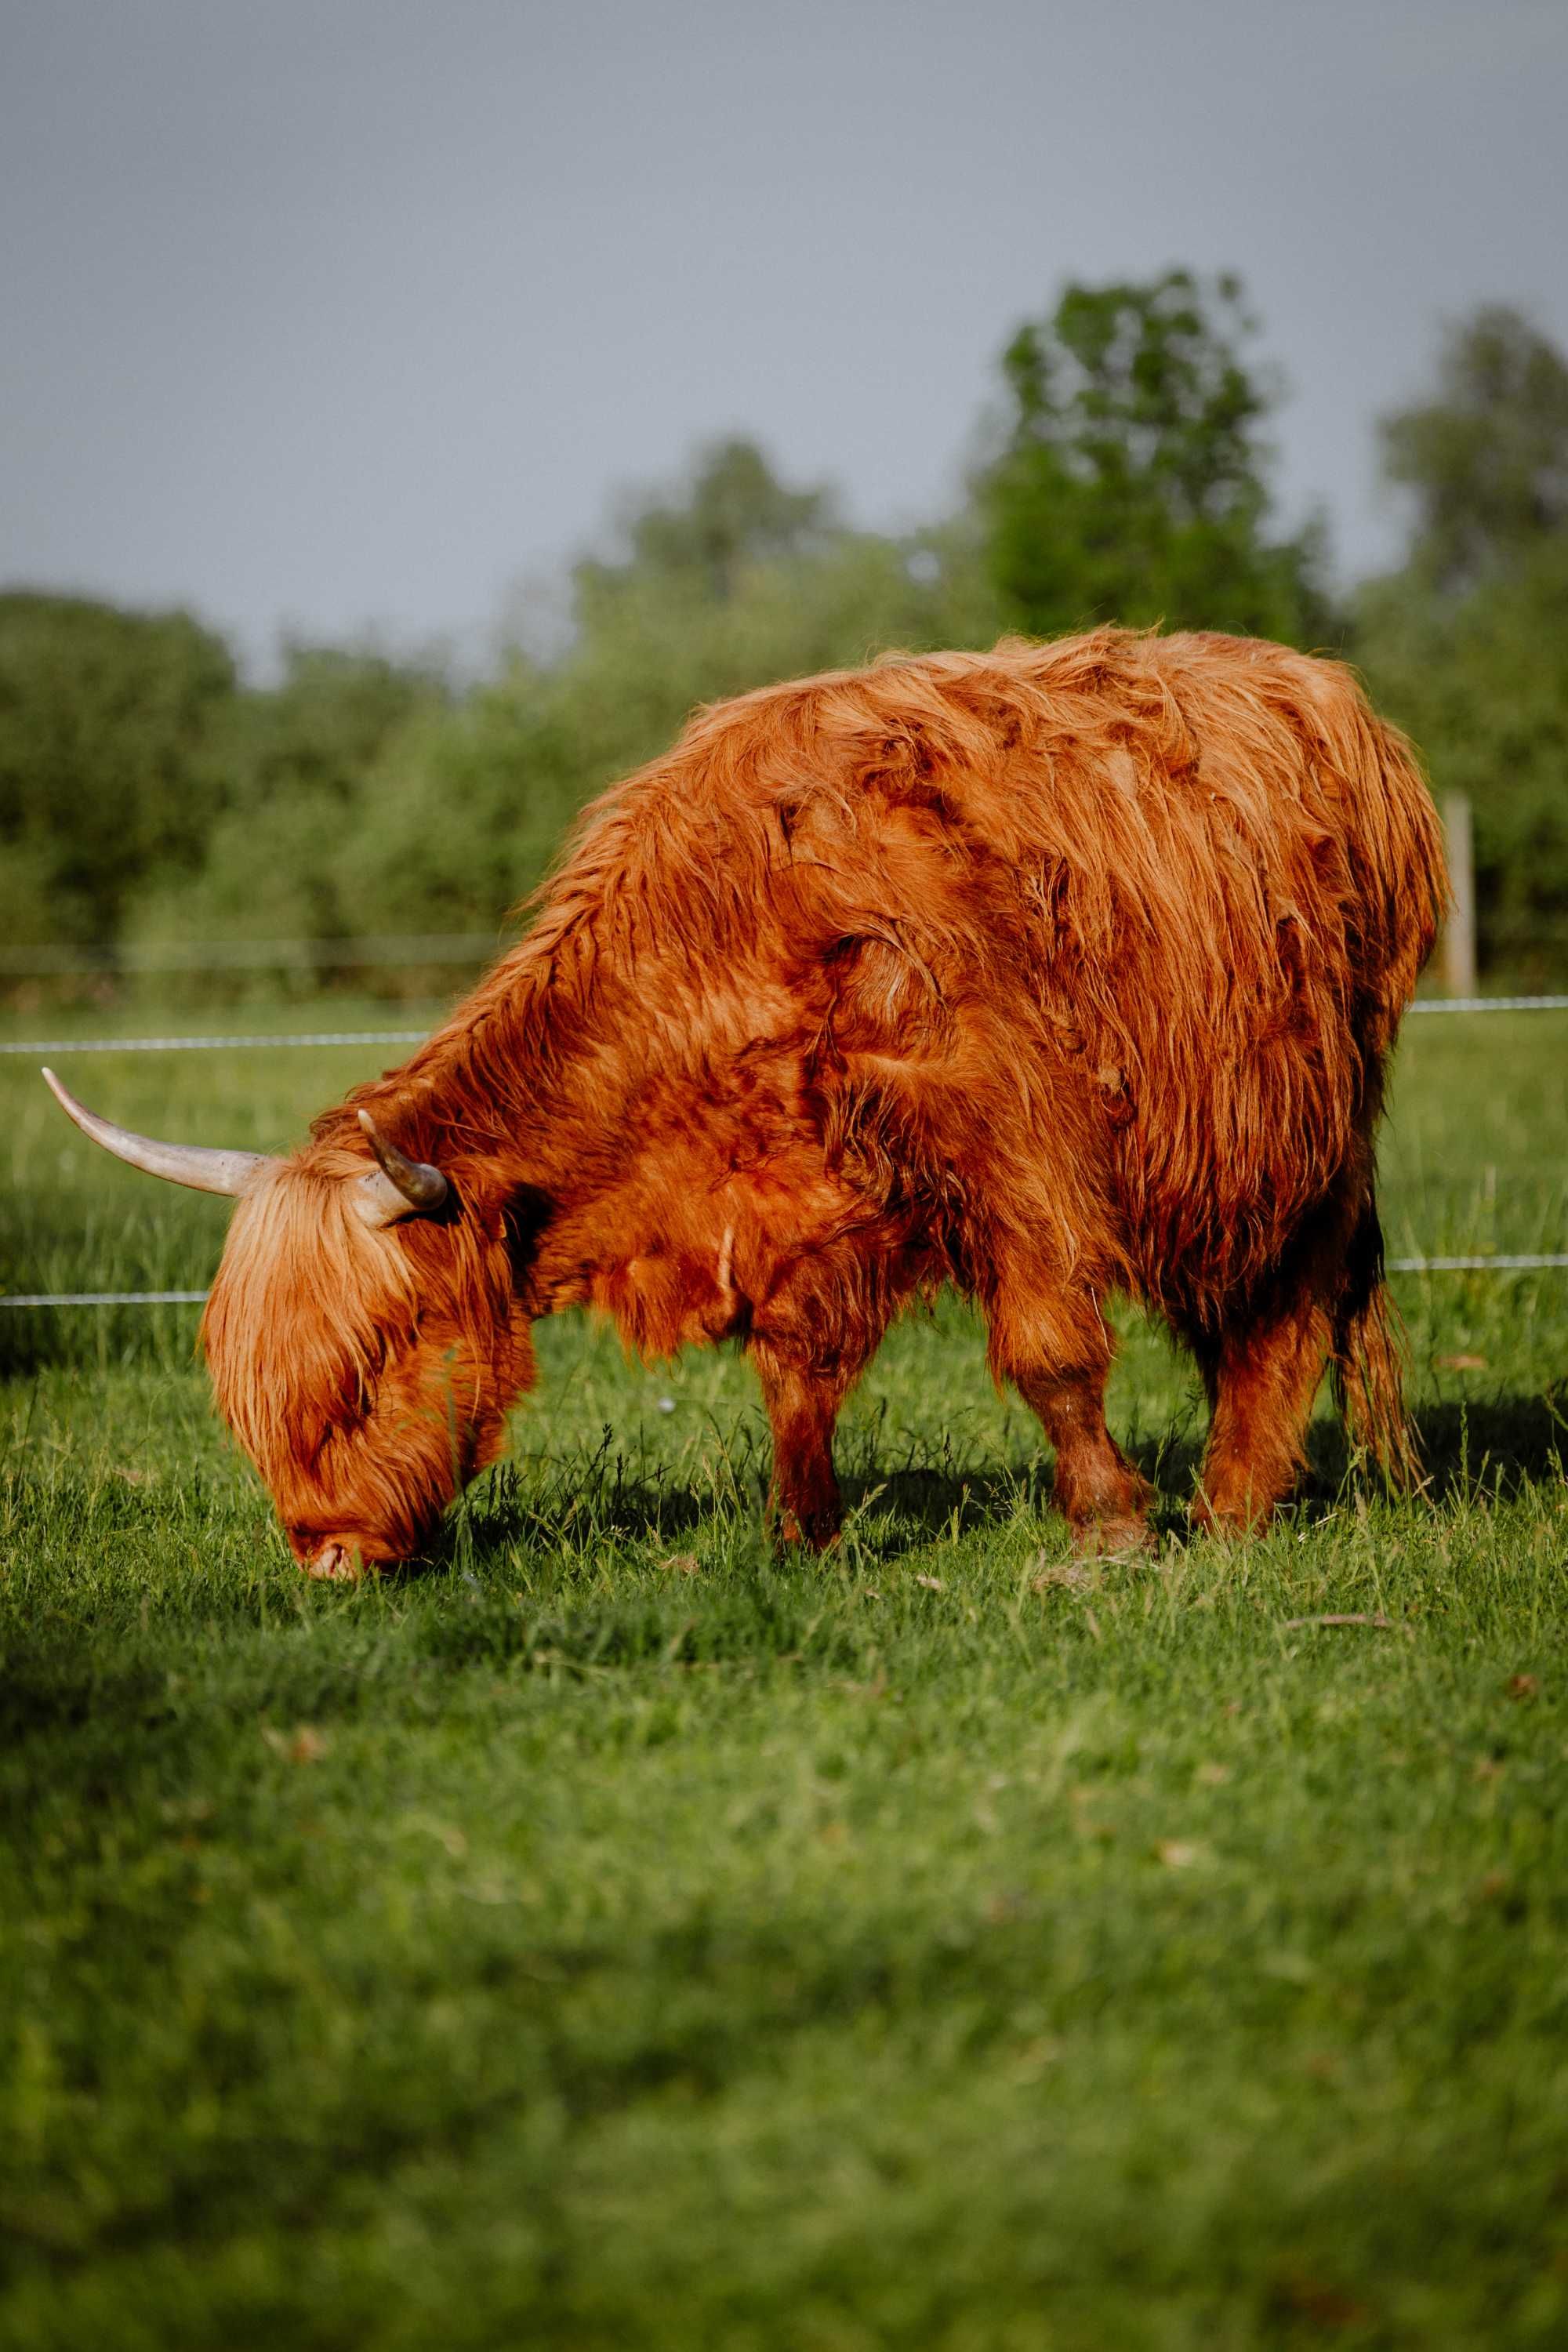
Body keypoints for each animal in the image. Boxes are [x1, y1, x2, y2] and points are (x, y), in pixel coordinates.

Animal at [45, 630, 1448, 1581]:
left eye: (372, 1356)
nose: (325, 1556)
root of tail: (1326, 689)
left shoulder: (1007, 1135)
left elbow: (1052, 1351)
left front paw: (1107, 1531)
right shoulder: (792, 1198)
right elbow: (793, 1370)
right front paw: (802, 1533)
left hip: (1315, 1118)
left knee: (1291, 1304)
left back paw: (1232, 1507)